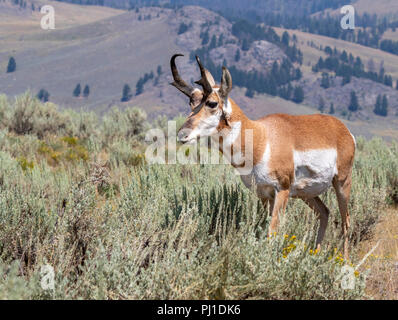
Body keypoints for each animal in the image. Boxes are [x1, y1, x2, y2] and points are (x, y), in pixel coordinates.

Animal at [169, 53, 356, 258]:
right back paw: (315, 254)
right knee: (324, 213)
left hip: (341, 182)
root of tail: (342, 128)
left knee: (346, 221)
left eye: (212, 103)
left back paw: (345, 261)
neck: (261, 137)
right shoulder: (264, 195)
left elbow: (272, 232)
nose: (182, 134)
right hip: (306, 193)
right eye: (191, 103)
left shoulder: (282, 190)